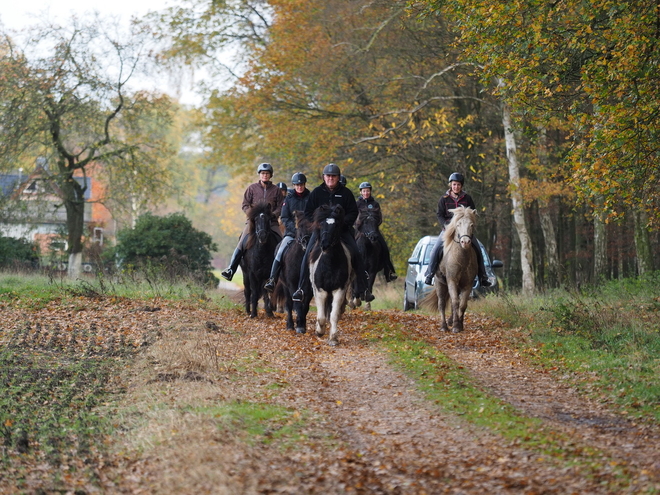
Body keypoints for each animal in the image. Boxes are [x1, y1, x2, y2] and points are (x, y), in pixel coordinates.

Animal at [308, 203, 354, 346]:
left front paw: (333, 338)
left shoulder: (339, 290)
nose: (325, 245)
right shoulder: (320, 290)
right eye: (321, 224)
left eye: (336, 226)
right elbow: (321, 316)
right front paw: (319, 331)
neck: (329, 264)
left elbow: (334, 315)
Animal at [436, 205, 476, 334]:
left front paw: (460, 325)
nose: (465, 242)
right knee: (442, 304)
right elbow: (454, 302)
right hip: (440, 283)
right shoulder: (452, 280)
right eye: (458, 224)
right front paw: (455, 326)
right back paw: (444, 326)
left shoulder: (468, 284)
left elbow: (462, 304)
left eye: (471, 225)